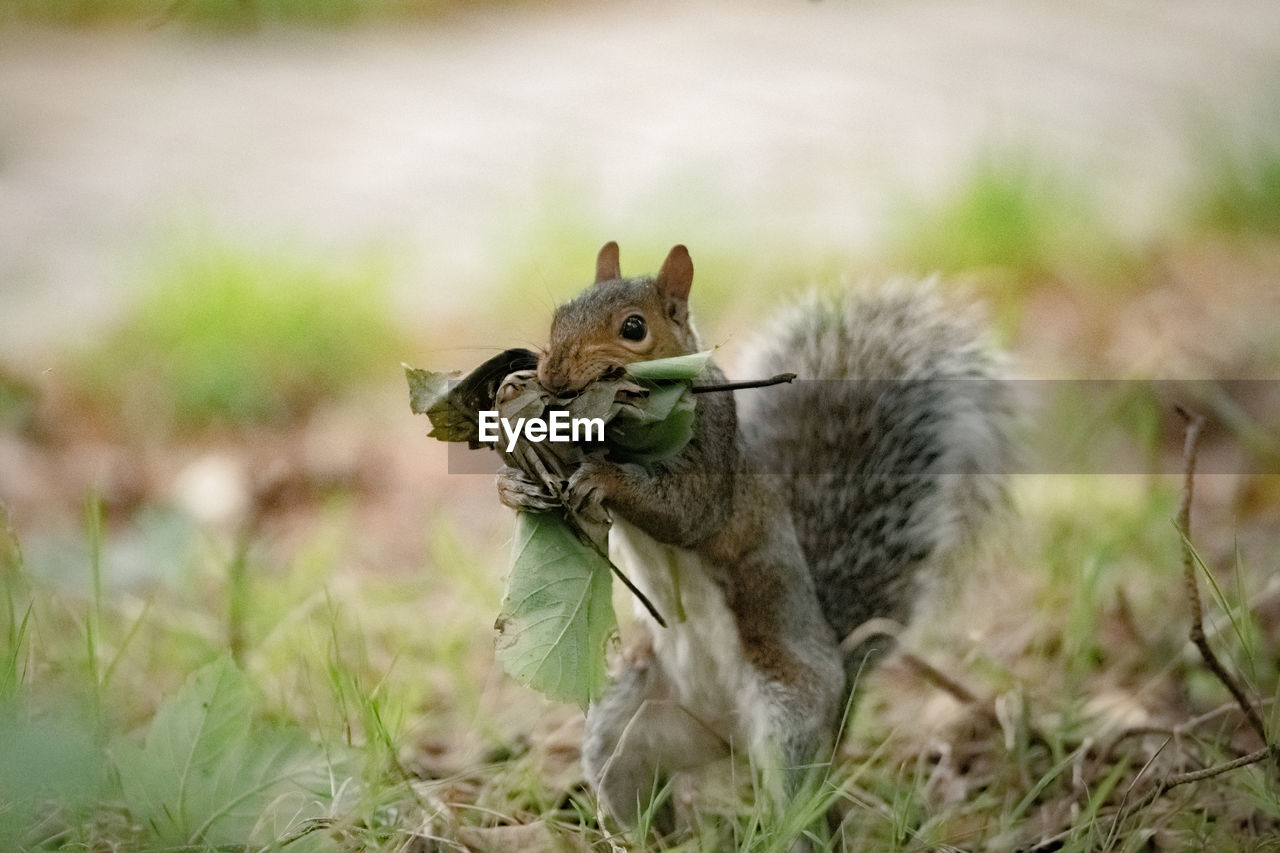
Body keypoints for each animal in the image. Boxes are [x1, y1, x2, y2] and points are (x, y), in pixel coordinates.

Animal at [496, 242, 1008, 835]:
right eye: (559, 315)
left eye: (633, 328)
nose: (551, 373)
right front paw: (513, 483)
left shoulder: (713, 444)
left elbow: (688, 512)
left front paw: (604, 475)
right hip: (624, 723)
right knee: (631, 786)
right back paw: (643, 839)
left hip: (789, 721)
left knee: (799, 803)